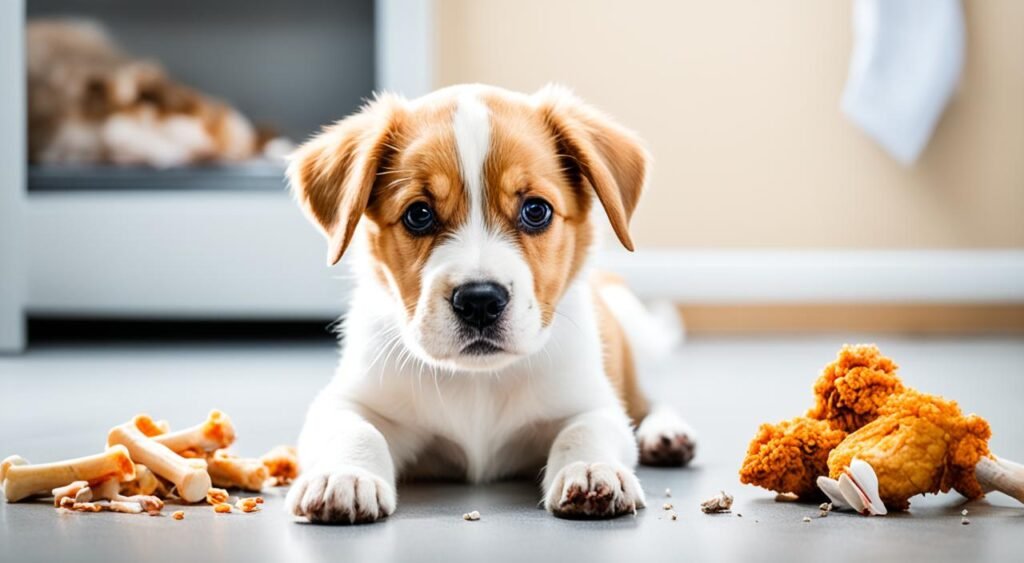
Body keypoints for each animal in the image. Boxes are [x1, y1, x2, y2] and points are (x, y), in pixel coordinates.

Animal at [286, 83, 696, 524]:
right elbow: (354, 428)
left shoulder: (591, 401)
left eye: (536, 210)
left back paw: (666, 433)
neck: (478, 380)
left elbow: (585, 429)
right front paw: (344, 475)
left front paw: (590, 468)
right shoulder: (348, 399)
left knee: (649, 400)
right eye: (418, 214)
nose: (479, 301)